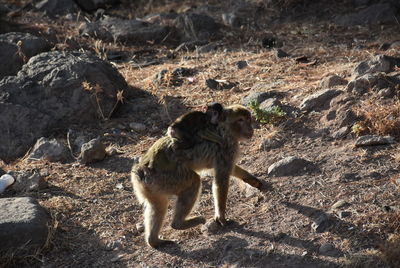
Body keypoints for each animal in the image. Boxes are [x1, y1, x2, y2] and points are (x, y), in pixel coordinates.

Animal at [130, 103, 262, 248]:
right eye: (241, 120)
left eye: (248, 119)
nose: (250, 128)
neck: (225, 127)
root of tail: (141, 170)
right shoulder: (227, 147)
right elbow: (221, 180)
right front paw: (221, 217)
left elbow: (229, 169)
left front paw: (251, 179)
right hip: (167, 179)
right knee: (194, 181)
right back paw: (178, 224)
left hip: (151, 186)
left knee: (158, 205)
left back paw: (153, 241)